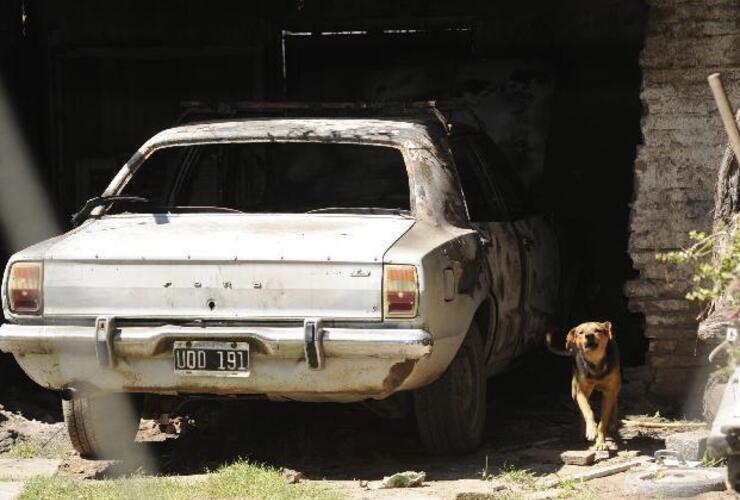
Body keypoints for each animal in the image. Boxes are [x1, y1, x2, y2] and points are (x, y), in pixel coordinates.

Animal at [548, 322, 620, 452]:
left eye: (598, 330)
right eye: (581, 332)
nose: (589, 335)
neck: (595, 364)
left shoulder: (609, 392)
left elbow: (603, 421)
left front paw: (600, 442)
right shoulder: (581, 392)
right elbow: (587, 411)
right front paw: (591, 430)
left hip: (616, 386)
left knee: (615, 403)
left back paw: (612, 424)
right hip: (574, 391)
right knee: (581, 412)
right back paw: (583, 434)